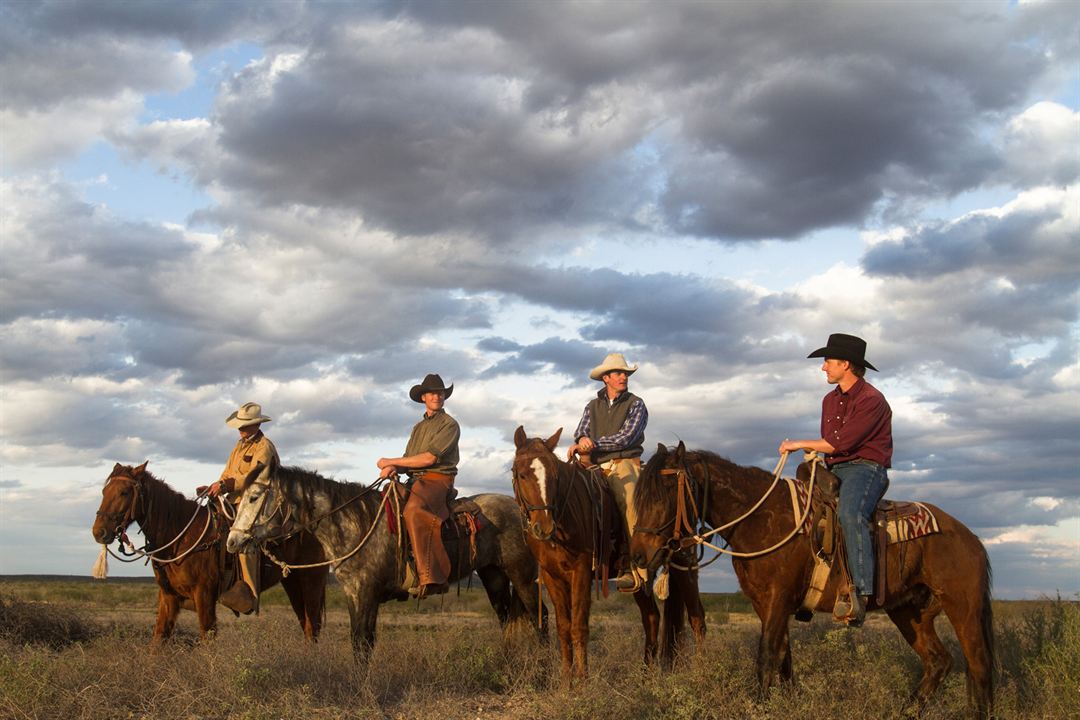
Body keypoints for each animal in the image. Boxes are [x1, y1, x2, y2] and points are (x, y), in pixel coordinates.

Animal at [90, 464, 326, 643]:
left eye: (124, 492)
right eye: (103, 492)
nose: (99, 532)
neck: (181, 536)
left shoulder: (203, 594)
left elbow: (207, 637)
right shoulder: (168, 596)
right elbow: (158, 638)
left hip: (311, 579)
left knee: (312, 625)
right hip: (292, 581)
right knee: (306, 624)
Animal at [226, 464, 548, 660]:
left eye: (254, 497)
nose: (232, 541)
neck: (354, 524)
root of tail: (521, 511)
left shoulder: (366, 593)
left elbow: (361, 643)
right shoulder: (355, 594)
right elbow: (362, 641)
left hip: (523, 576)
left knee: (540, 617)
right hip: (494, 576)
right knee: (507, 619)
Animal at [511, 427, 708, 682]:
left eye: (555, 476)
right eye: (522, 474)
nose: (543, 527)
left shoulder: (582, 572)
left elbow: (578, 627)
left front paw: (582, 682)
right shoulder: (552, 577)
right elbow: (563, 628)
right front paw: (565, 682)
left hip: (685, 565)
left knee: (697, 619)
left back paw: (701, 674)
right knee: (652, 618)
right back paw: (646, 676)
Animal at [630, 444, 993, 720]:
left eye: (664, 494)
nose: (638, 555)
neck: (762, 519)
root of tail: (970, 537)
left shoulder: (779, 598)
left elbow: (766, 655)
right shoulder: (765, 603)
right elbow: (783, 657)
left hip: (963, 608)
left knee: (978, 665)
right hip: (909, 612)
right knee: (938, 661)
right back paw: (905, 711)